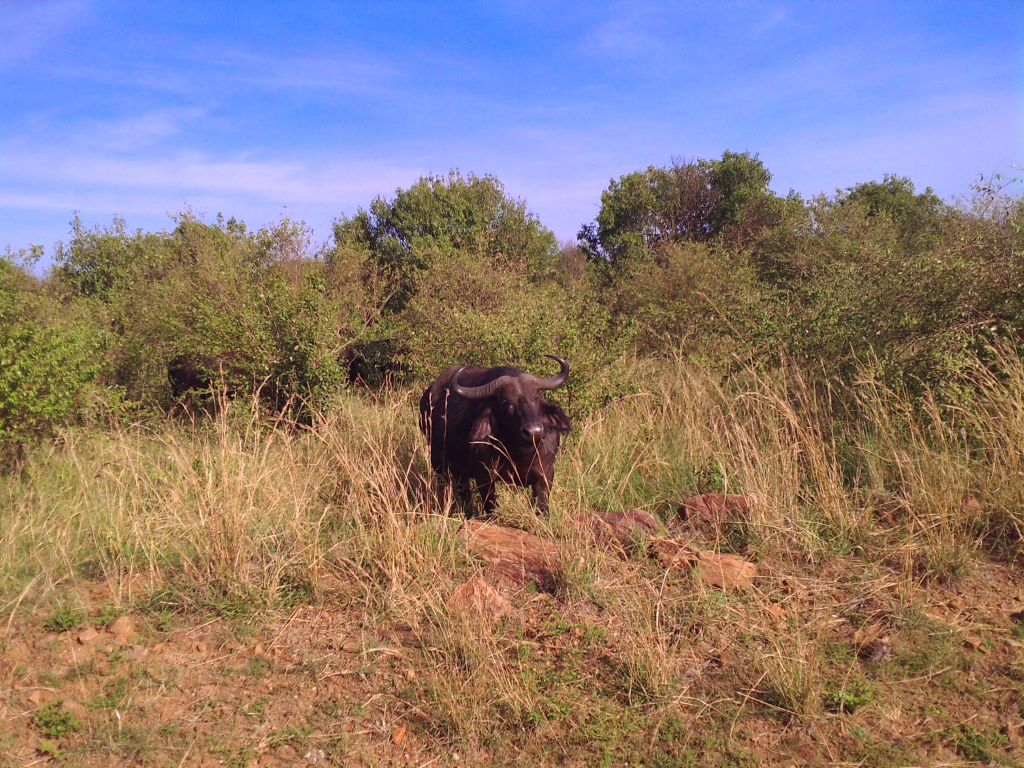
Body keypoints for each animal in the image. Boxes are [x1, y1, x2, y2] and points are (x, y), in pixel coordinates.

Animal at [419, 356, 571, 515]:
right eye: (506, 401)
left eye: (535, 397)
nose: (534, 431)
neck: (521, 453)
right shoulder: (484, 476)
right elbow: (491, 506)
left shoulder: (546, 474)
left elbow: (542, 507)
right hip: (441, 466)